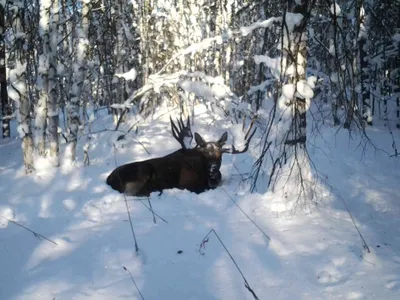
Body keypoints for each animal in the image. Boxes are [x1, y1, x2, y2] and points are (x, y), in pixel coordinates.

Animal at [106, 116, 256, 197]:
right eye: (205, 154)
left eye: (221, 155)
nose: (213, 169)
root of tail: (109, 179)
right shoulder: (185, 183)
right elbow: (200, 188)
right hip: (142, 170)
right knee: (133, 193)